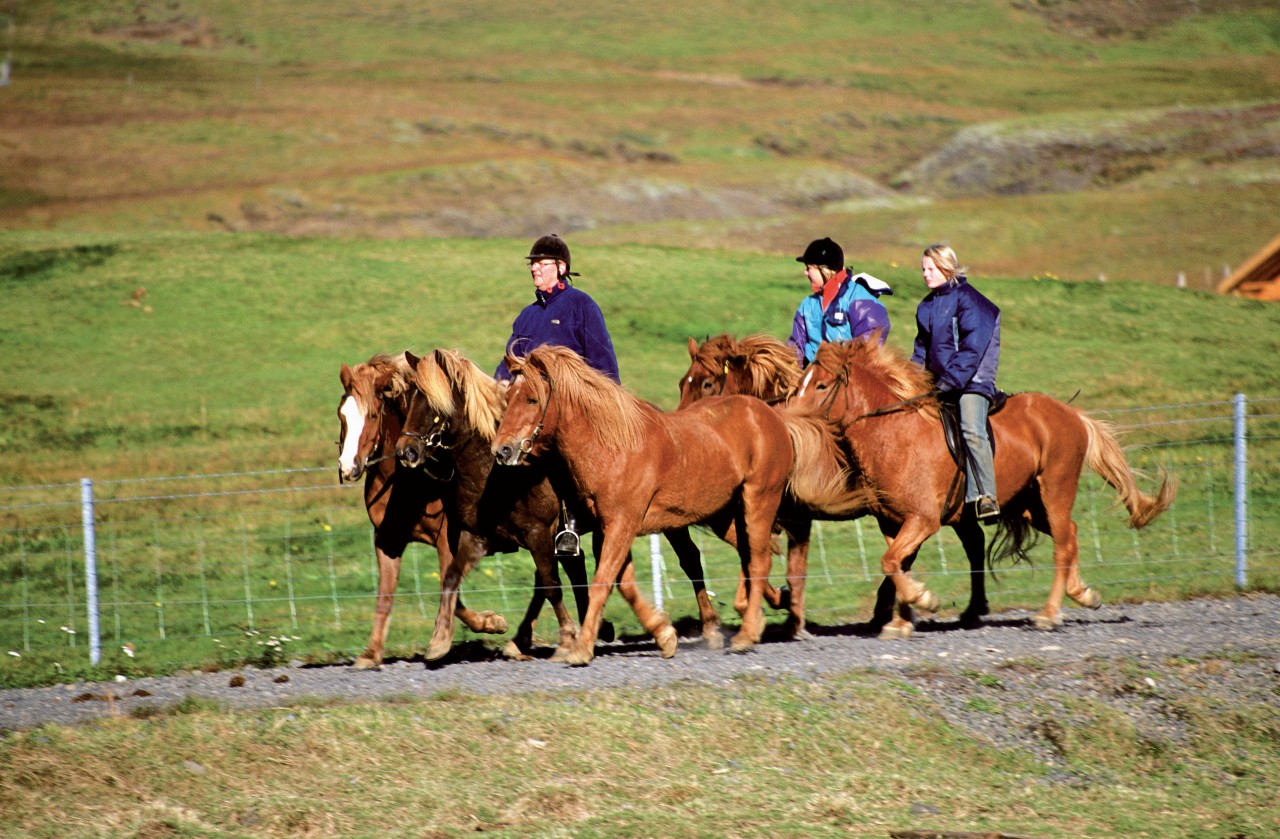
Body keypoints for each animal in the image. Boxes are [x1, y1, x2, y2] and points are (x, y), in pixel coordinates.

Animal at [340, 353, 509, 671]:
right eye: (341, 415)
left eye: (373, 415)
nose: (348, 467)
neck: (409, 483)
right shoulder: (388, 541)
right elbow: (385, 597)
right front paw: (371, 653)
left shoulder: (448, 540)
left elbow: (450, 589)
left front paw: (490, 623)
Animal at [494, 345, 855, 660]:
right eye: (508, 398)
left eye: (532, 398)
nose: (503, 450)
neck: (613, 446)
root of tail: (773, 417)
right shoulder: (607, 529)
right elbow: (624, 584)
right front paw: (664, 635)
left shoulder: (621, 525)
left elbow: (601, 583)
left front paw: (581, 649)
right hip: (729, 514)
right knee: (748, 555)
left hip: (759, 501)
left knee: (759, 560)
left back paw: (747, 633)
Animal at [680, 330, 988, 632]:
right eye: (683, 383)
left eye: (707, 383)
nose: (687, 428)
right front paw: (778, 610)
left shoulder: (795, 518)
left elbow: (785, 569)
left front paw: (788, 613)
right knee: (971, 541)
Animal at [793, 338, 1172, 640]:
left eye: (822, 386)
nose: (789, 417)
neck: (895, 432)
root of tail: (1071, 413)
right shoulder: (893, 522)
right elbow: (897, 564)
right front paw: (901, 621)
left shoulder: (923, 520)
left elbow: (891, 562)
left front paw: (924, 600)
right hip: (1029, 505)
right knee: (1072, 533)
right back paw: (1082, 593)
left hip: (1055, 490)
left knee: (1064, 543)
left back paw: (1049, 613)